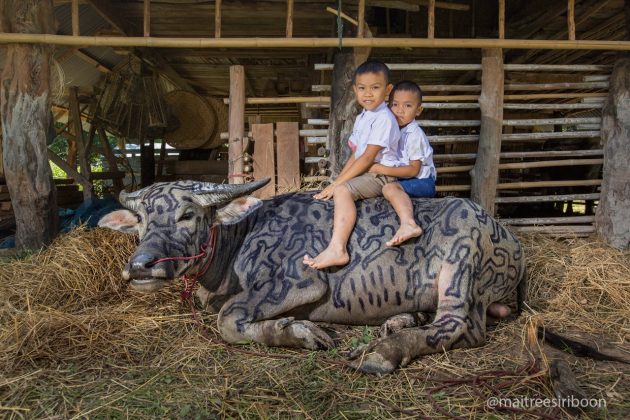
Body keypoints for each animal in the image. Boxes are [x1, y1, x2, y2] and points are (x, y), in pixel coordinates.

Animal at [99, 179, 528, 372]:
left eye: (187, 215)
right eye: (141, 219)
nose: (140, 265)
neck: (239, 240)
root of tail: (512, 241)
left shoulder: (297, 282)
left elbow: (228, 318)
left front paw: (298, 331)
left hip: (461, 265)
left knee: (459, 326)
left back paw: (381, 352)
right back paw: (397, 322)